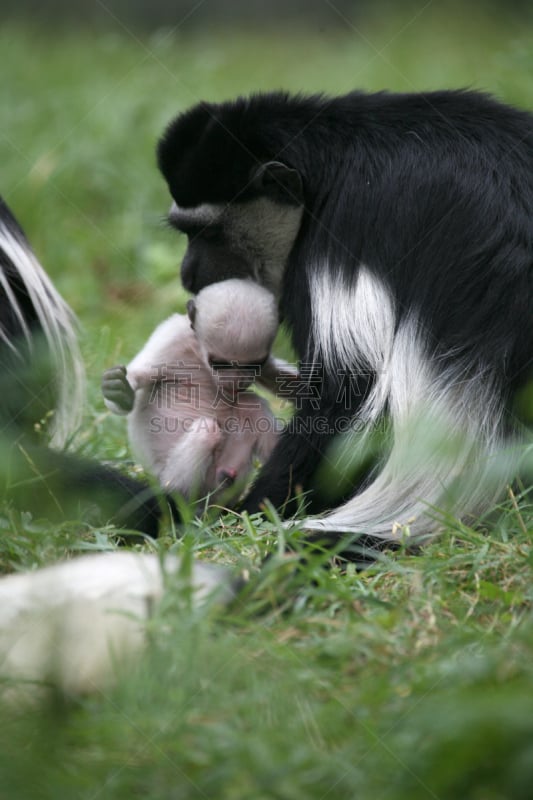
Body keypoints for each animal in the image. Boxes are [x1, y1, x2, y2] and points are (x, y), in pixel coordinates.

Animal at [101, 282, 296, 504]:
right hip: (172, 476)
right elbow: (136, 377)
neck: (198, 355)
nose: (237, 380)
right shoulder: (171, 337)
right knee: (207, 431)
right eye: (220, 363)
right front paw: (119, 391)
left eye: (253, 365)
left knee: (249, 405)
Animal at [156, 87, 532, 552]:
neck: (322, 170)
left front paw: (253, 511)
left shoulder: (334, 243)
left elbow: (347, 390)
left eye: (209, 233)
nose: (188, 274)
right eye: (187, 232)